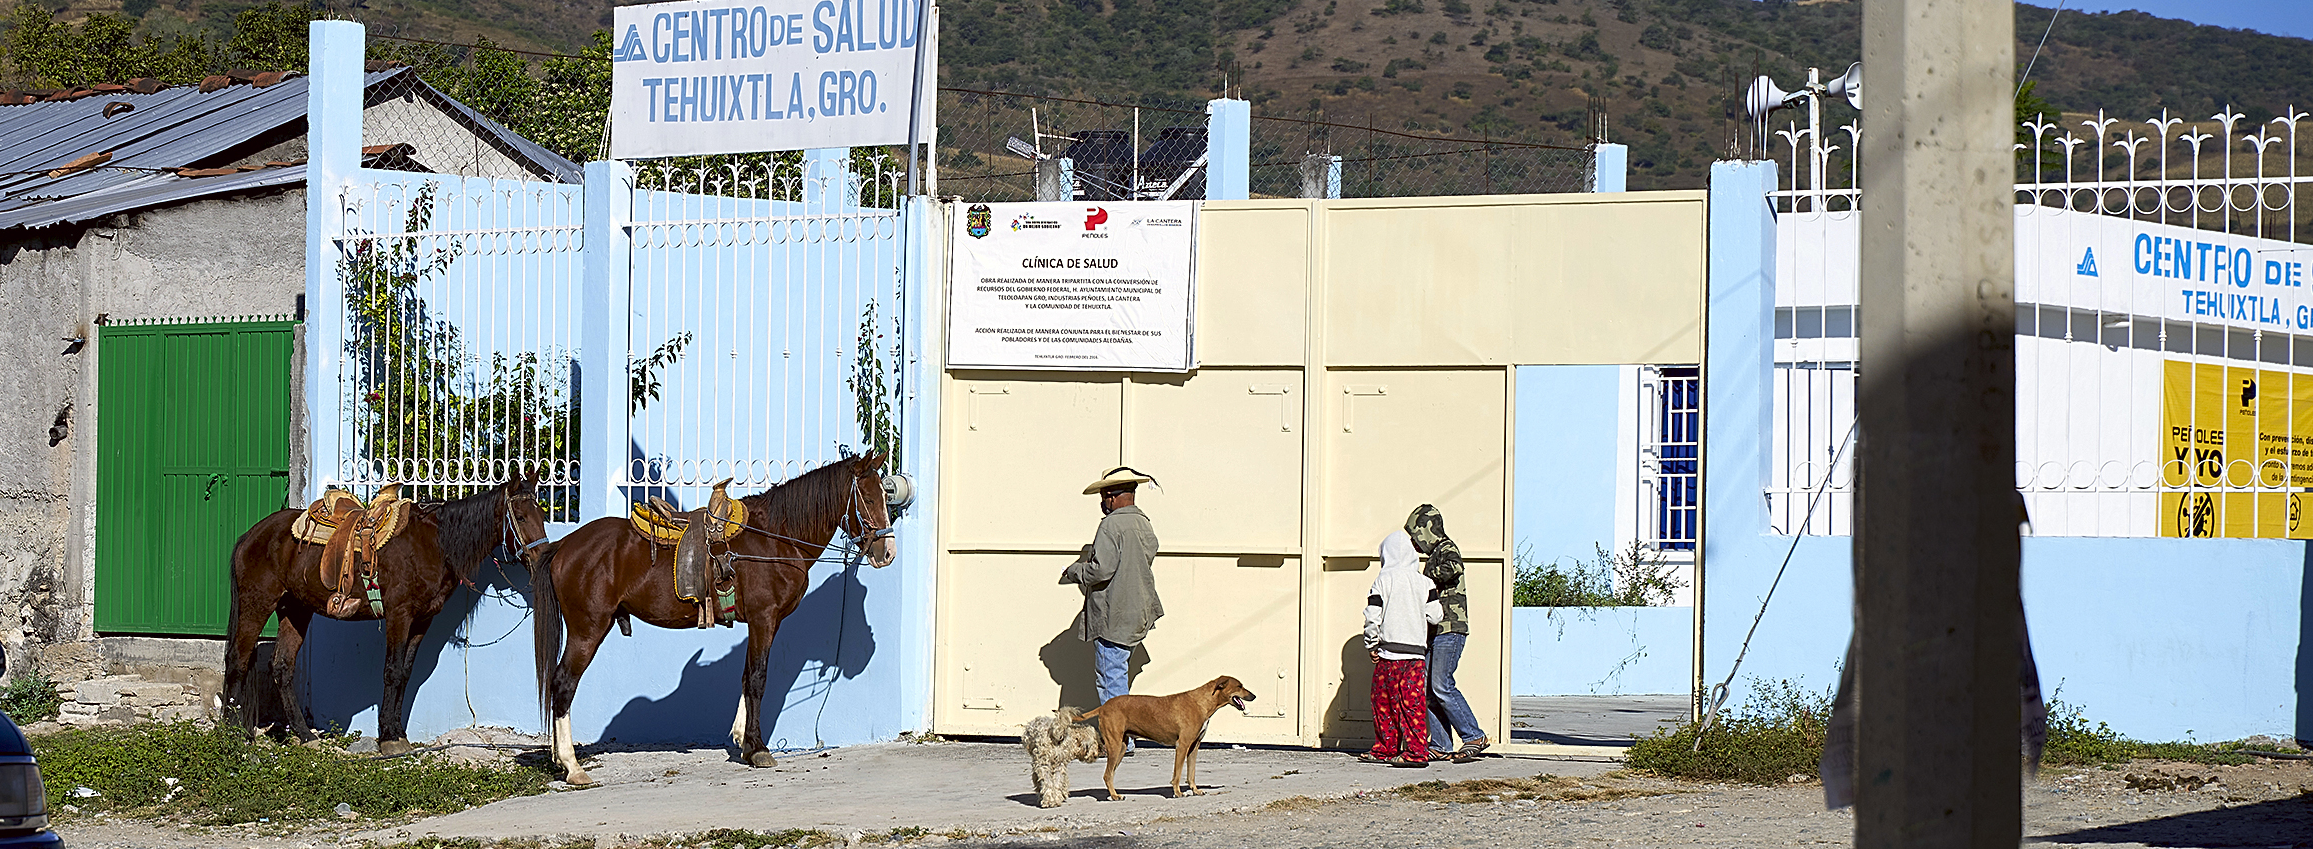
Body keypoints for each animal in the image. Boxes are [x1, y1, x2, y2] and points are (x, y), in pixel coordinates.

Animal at [224, 476, 550, 754]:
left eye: (542, 515)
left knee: (282, 667)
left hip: (295, 610)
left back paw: (304, 736)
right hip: (257, 603)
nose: (541, 559)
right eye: (521, 517)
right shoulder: (399, 615)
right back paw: (232, 732)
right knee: (238, 660)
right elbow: (392, 672)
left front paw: (398, 734)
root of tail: (249, 535)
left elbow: (405, 673)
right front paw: (389, 739)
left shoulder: (422, 620)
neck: (435, 543)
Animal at [531, 455, 892, 786]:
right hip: (588, 629)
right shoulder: (764, 619)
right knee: (563, 684)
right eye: (870, 498)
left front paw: (743, 741)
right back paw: (572, 766)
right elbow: (758, 679)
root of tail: (564, 545)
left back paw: (560, 760)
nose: (888, 552)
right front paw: (758, 749)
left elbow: (746, 676)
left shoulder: (760, 623)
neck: (776, 537)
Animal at [1073, 680, 1258, 805]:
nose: (1254, 696)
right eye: (1239, 686)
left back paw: (1113, 795)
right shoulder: (1182, 745)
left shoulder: (1194, 746)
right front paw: (1177, 793)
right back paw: (1115, 796)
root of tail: (1104, 706)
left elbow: (1191, 774)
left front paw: (1195, 790)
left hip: (1122, 747)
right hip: (1115, 745)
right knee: (1107, 774)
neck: (1202, 702)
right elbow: (1177, 774)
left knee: (1109, 774)